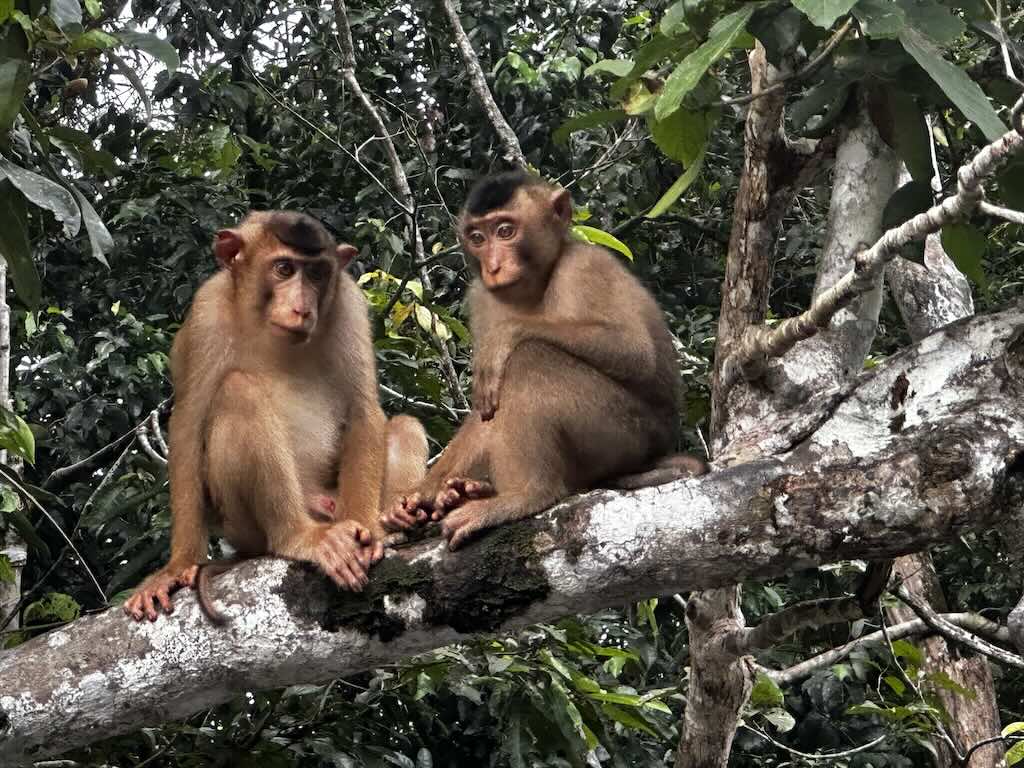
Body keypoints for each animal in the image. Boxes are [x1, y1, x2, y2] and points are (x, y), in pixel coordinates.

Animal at [124, 211, 428, 626]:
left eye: (316, 274)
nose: (302, 308)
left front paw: (371, 532)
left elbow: (363, 409)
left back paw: (394, 517)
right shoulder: (206, 313)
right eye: (284, 269)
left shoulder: (348, 305)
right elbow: (187, 424)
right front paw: (177, 567)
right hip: (244, 528)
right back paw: (298, 537)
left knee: (403, 426)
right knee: (239, 391)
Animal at [380, 173, 708, 552]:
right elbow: (484, 410)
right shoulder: (480, 297)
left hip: (629, 433)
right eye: (478, 238)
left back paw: (524, 495)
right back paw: (464, 493)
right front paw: (423, 493)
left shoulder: (585, 267)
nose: (493, 267)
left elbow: (635, 351)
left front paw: (505, 336)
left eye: (505, 231)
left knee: (531, 359)